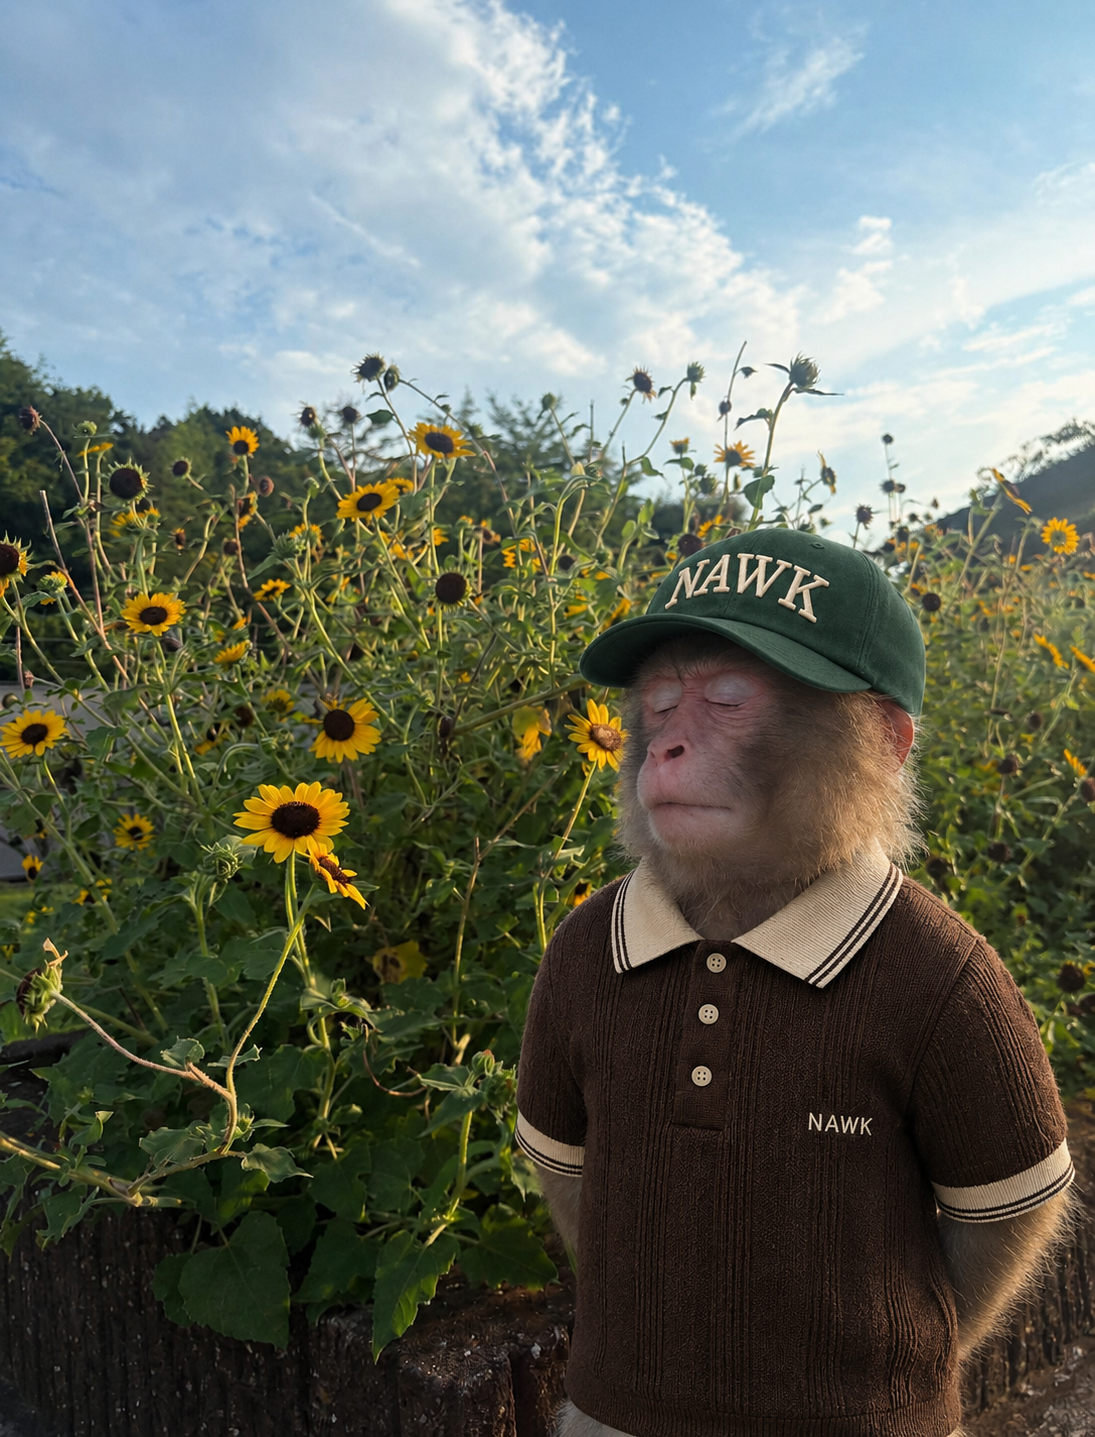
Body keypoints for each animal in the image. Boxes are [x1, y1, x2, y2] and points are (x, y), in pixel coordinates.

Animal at [515, 530, 1076, 1437]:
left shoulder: (969, 989)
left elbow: (1005, 1206)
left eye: (728, 698)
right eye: (662, 703)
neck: (732, 928)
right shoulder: (561, 959)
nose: (664, 748)